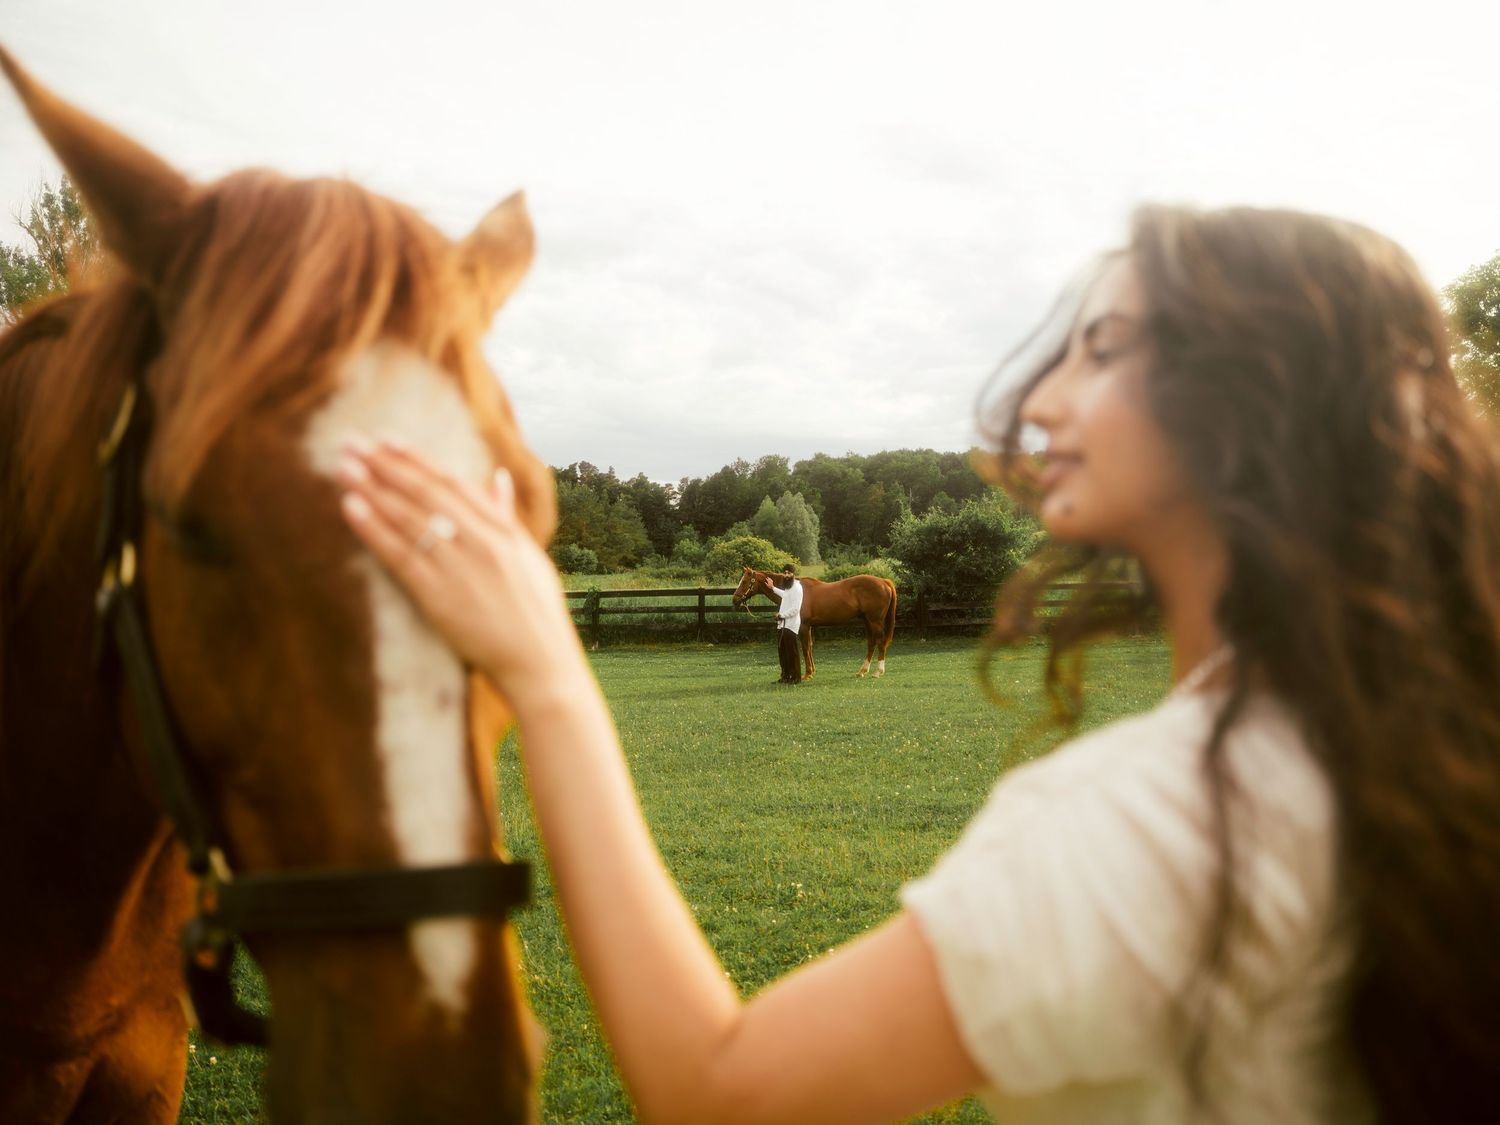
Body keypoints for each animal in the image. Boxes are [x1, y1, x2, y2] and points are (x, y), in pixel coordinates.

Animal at [731, 567, 897, 679]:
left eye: (744, 581)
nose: (734, 600)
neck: (792, 590)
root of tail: (884, 581)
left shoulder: (804, 626)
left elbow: (805, 648)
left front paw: (807, 674)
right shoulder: (809, 627)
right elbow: (810, 648)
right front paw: (813, 671)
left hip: (875, 621)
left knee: (880, 642)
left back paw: (878, 672)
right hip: (867, 621)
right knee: (871, 643)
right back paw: (862, 671)